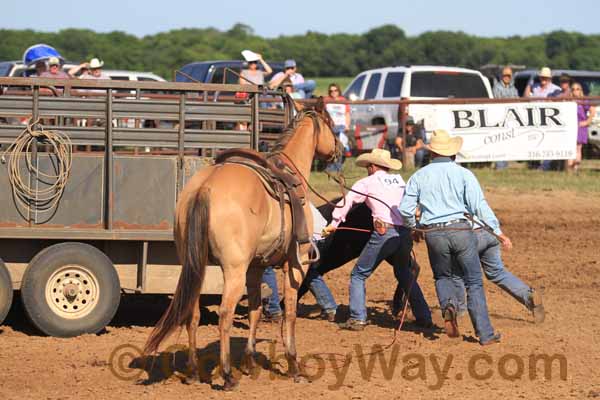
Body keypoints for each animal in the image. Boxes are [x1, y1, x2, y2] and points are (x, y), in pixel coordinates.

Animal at [143, 100, 340, 390]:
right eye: (331, 124)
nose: (339, 150)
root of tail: (205, 187)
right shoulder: (296, 264)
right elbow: (290, 313)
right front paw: (294, 366)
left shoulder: (256, 268)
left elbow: (255, 311)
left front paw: (249, 362)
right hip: (233, 270)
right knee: (225, 314)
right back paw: (226, 375)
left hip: (196, 266)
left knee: (192, 314)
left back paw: (193, 371)